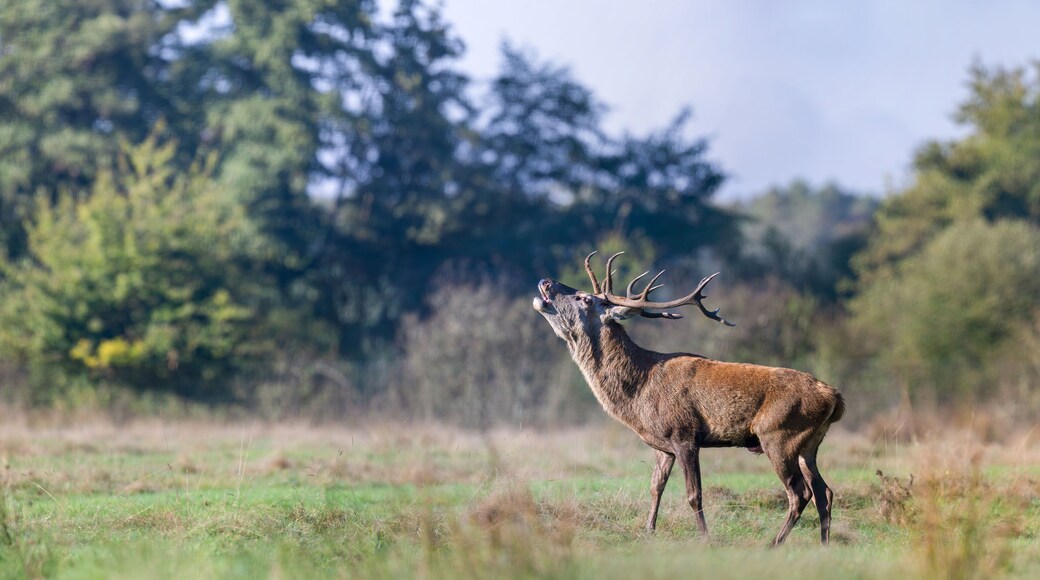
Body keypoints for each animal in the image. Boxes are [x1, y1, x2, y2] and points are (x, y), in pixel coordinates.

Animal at [532, 251, 844, 546]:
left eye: (584, 299)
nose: (545, 281)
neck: (638, 393)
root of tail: (834, 396)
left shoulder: (684, 434)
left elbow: (694, 494)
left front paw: (705, 538)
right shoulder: (663, 445)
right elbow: (655, 486)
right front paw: (649, 531)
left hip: (779, 435)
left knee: (799, 492)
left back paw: (774, 543)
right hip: (808, 444)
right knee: (824, 492)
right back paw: (824, 544)